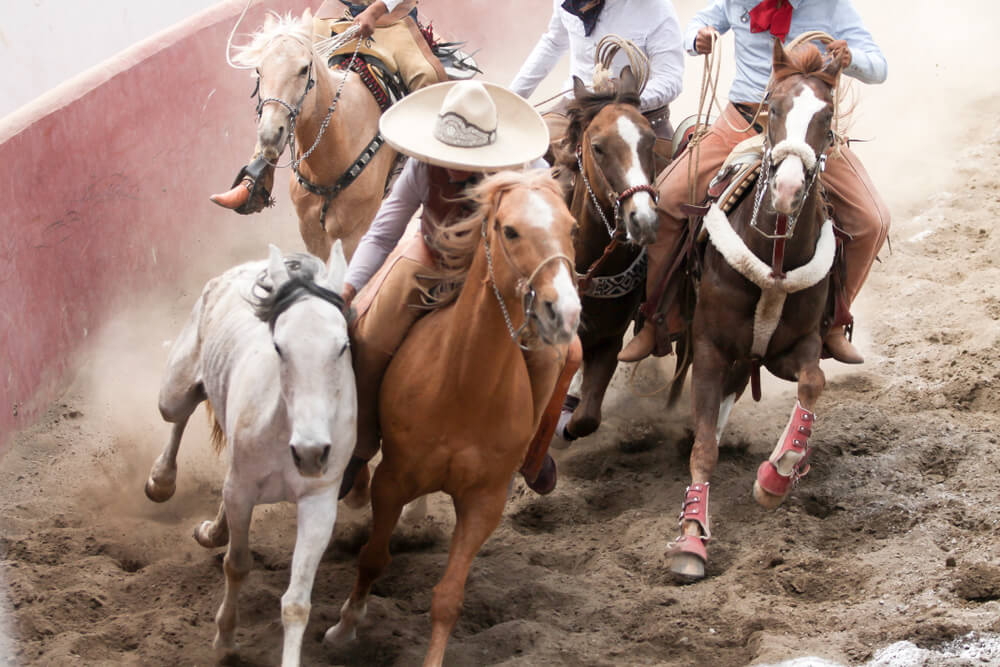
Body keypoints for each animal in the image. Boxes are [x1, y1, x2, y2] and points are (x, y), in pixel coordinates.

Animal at [144, 243, 356, 667]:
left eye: (343, 346)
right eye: (279, 347)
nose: (311, 453)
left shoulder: (319, 502)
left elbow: (297, 602)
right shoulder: (242, 491)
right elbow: (237, 564)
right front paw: (225, 640)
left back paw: (211, 529)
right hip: (173, 392)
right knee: (181, 411)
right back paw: (161, 482)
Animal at [324, 171, 584, 667]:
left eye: (572, 228)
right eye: (509, 230)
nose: (565, 311)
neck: (465, 387)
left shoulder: (485, 501)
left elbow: (448, 598)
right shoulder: (393, 479)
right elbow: (373, 557)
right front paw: (344, 627)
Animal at [552, 68, 660, 446]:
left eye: (650, 141)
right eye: (597, 147)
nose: (643, 219)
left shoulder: (609, 340)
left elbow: (586, 418)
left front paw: (566, 422)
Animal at [668, 41, 848, 580]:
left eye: (827, 116)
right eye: (774, 108)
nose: (786, 189)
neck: (776, 255)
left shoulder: (795, 348)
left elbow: (813, 383)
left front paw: (778, 474)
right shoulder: (708, 347)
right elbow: (704, 447)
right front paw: (691, 537)